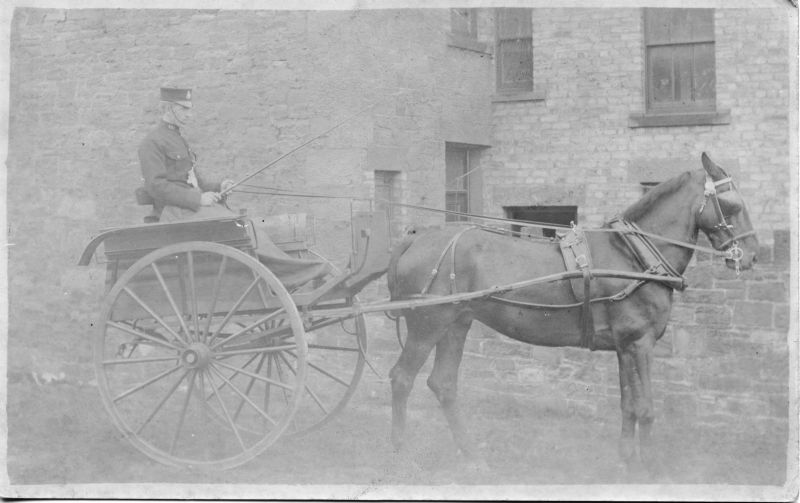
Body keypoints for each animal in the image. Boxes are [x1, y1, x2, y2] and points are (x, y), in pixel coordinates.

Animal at [388, 152, 756, 474]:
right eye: (733, 204)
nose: (752, 255)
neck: (634, 257)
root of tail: (415, 239)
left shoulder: (625, 346)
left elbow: (628, 405)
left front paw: (627, 460)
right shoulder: (640, 343)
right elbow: (646, 408)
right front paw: (650, 468)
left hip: (456, 324)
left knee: (443, 384)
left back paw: (472, 456)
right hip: (427, 326)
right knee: (402, 379)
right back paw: (402, 453)